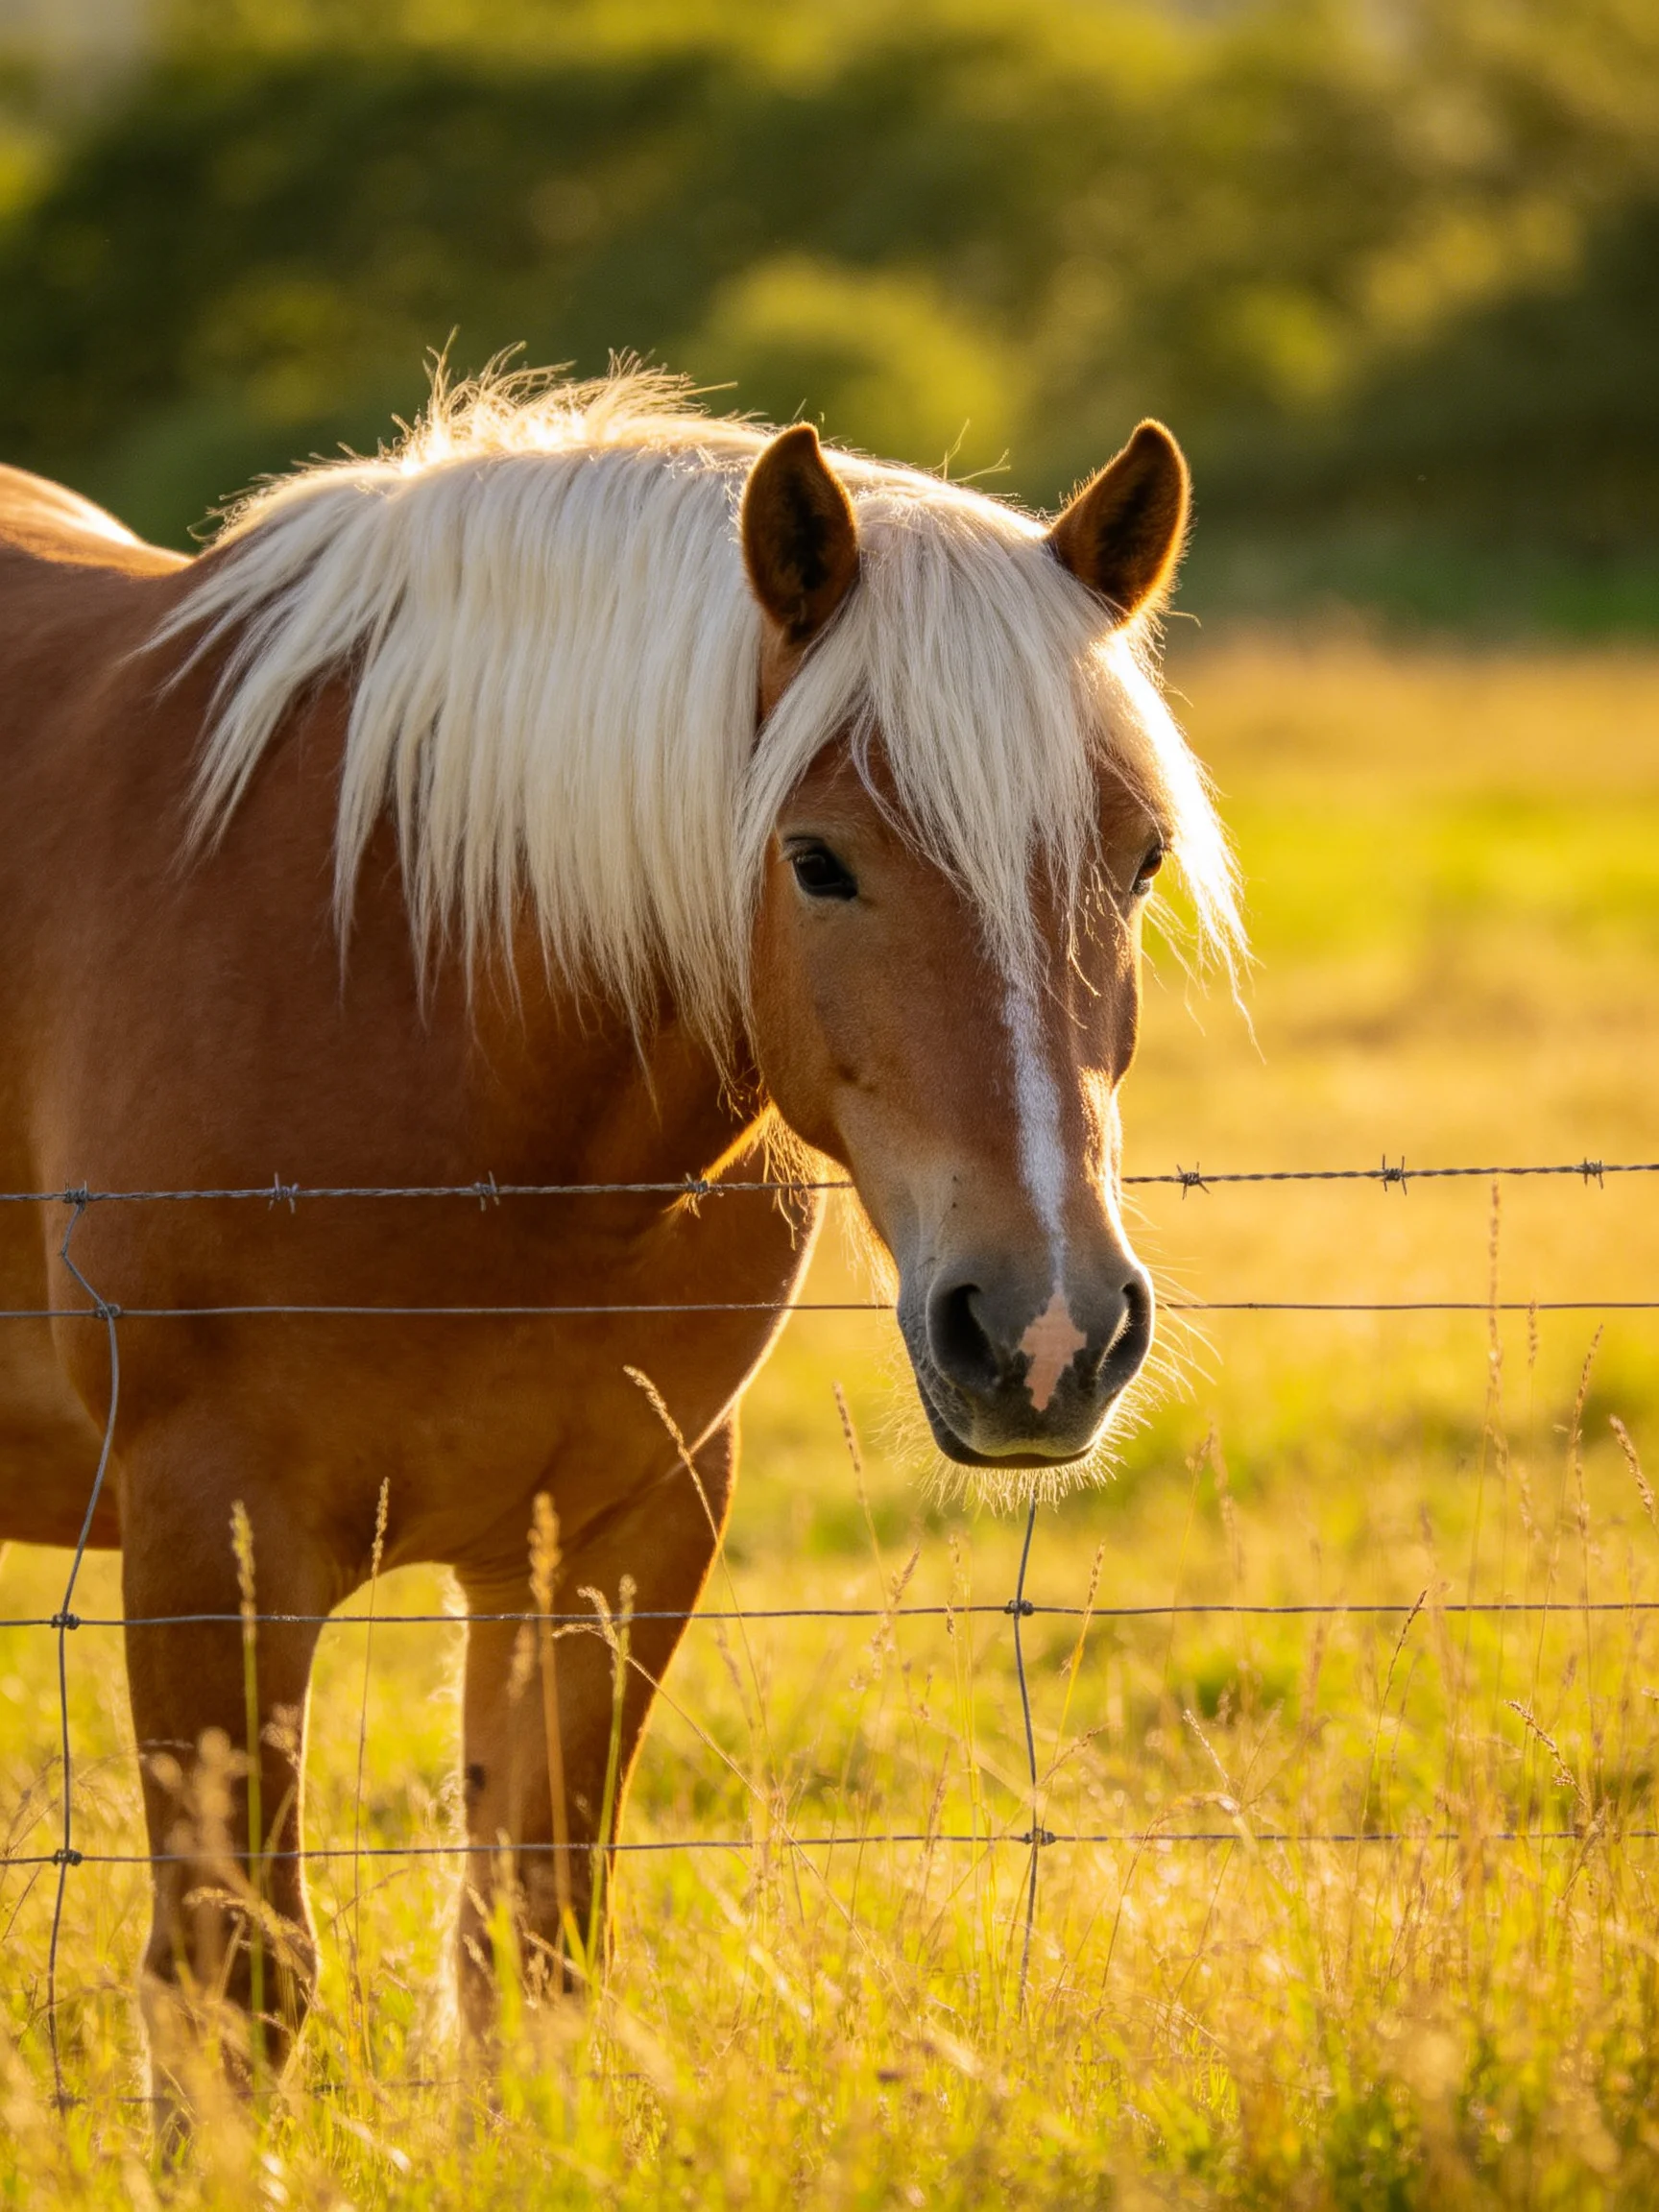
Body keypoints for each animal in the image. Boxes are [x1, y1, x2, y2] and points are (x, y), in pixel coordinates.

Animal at [0, 368, 1240, 2095]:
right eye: (815, 857)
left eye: (1138, 859)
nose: (1043, 1333)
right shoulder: (208, 1540)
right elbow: (230, 1987)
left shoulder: (615, 1533)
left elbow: (528, 1943)